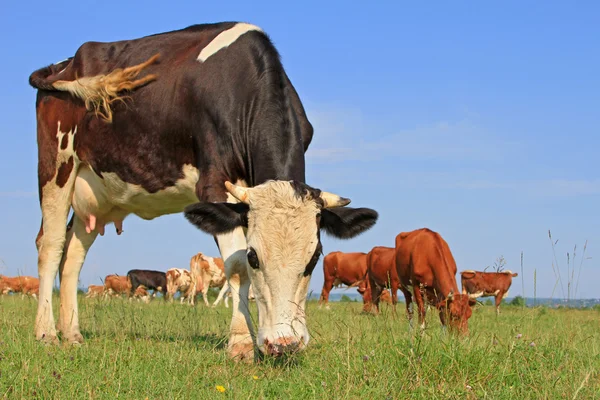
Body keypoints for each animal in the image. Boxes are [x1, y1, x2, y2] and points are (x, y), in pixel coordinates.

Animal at [30, 20, 378, 360]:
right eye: (254, 257)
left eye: (315, 258)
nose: (284, 343)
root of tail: (64, 63)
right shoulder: (213, 185)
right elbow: (235, 269)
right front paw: (241, 344)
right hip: (56, 165)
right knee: (51, 246)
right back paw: (47, 334)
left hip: (94, 197)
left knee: (73, 256)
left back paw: (72, 334)